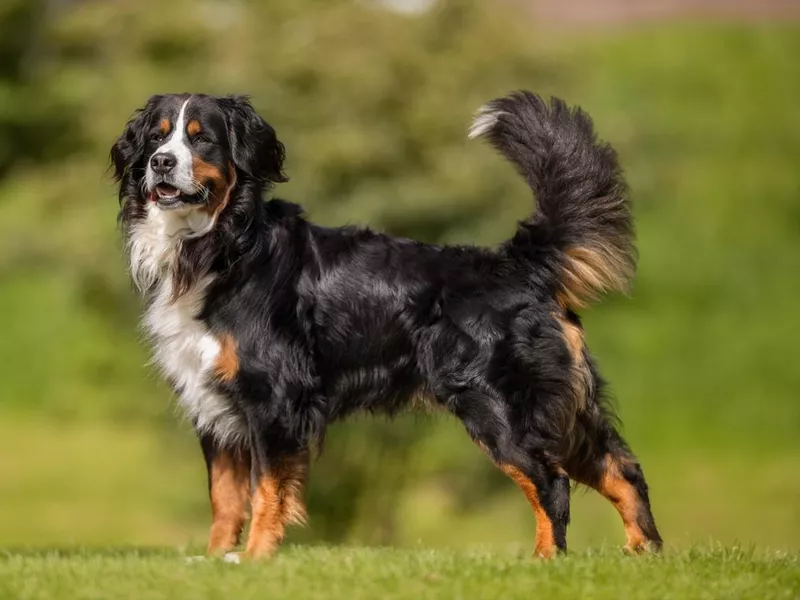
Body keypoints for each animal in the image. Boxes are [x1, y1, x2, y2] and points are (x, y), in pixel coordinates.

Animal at [111, 91, 664, 560]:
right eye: (158, 137)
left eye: (201, 137)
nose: (162, 162)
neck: (222, 247)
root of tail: (518, 263)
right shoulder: (214, 404)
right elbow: (225, 500)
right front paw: (215, 564)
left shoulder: (272, 400)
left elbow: (266, 491)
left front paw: (255, 562)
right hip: (563, 409)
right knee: (622, 469)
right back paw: (645, 554)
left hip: (500, 408)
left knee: (552, 482)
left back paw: (546, 563)